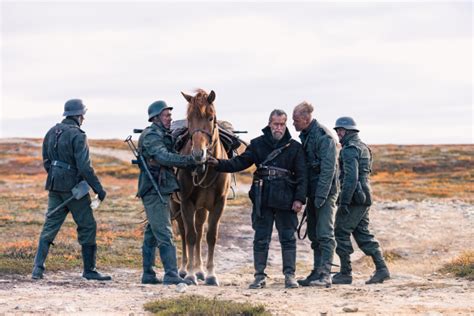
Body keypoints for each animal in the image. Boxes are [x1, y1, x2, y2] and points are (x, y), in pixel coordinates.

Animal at [171, 89, 231, 286]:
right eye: (189, 118)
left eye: (211, 118)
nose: (198, 154)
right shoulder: (186, 203)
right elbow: (189, 235)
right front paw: (190, 274)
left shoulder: (219, 203)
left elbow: (210, 236)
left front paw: (210, 274)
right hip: (175, 206)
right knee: (185, 232)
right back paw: (184, 269)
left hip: (202, 208)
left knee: (199, 231)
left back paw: (200, 271)